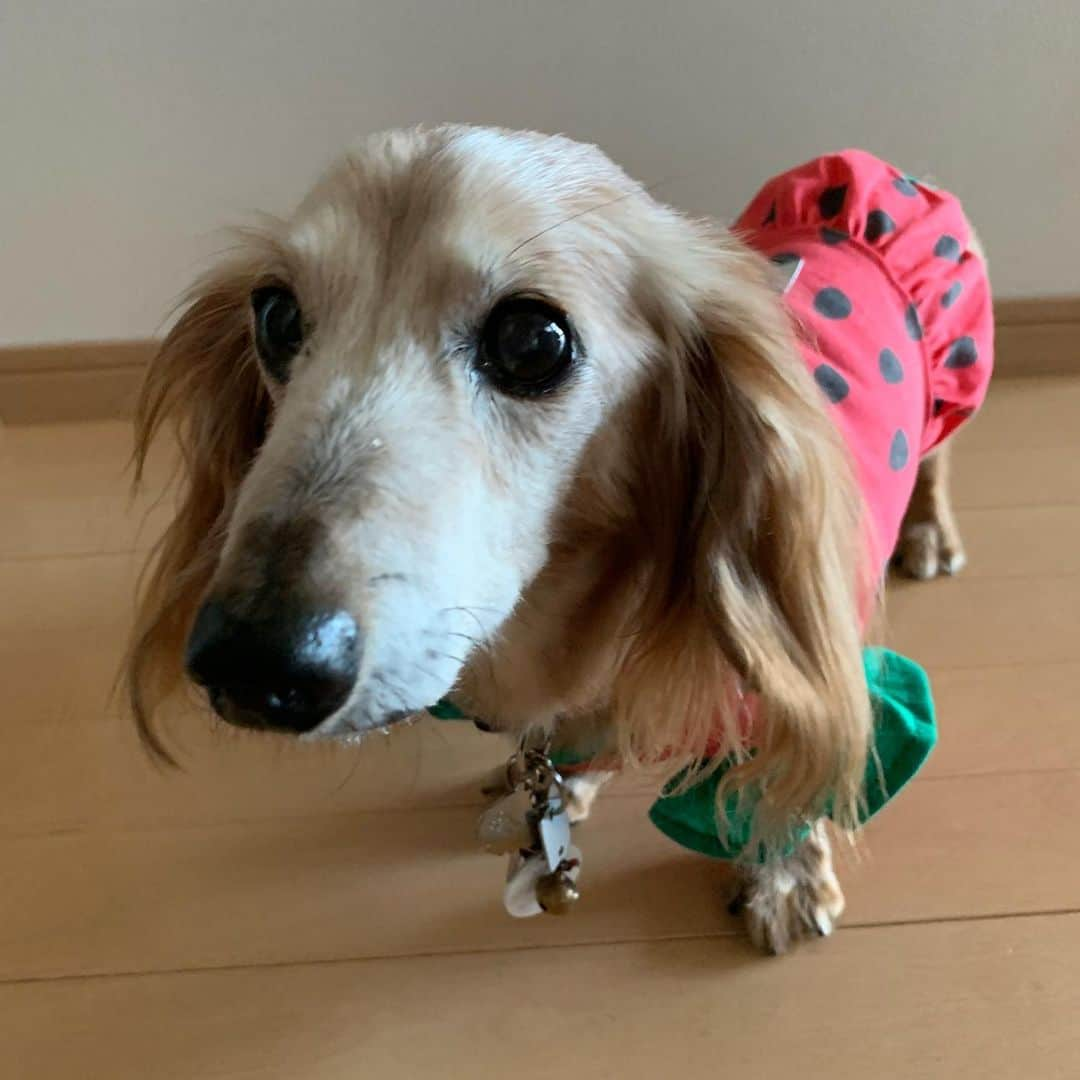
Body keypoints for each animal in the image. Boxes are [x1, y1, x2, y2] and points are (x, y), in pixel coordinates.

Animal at [124, 124, 989, 954]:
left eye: (531, 340)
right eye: (276, 316)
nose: (250, 661)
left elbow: (783, 791)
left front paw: (784, 879)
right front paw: (562, 786)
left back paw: (930, 533)